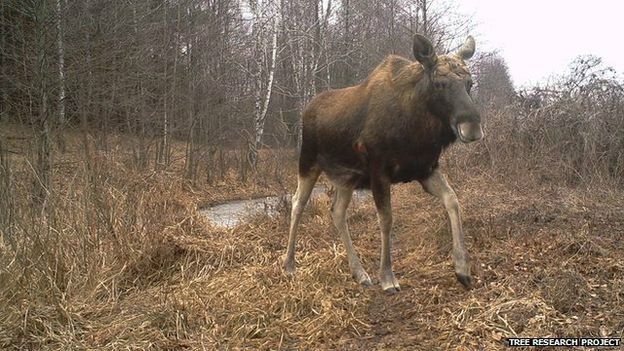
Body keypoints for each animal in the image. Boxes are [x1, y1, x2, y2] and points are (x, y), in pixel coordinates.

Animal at [282, 33, 482, 292]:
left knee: (337, 211)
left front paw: (462, 269)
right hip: (308, 162)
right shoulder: (379, 170)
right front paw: (387, 277)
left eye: (470, 83)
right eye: (439, 83)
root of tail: (306, 110)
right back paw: (289, 264)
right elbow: (386, 219)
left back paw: (359, 273)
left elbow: (453, 200)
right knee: (298, 203)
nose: (472, 128)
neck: (418, 129)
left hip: (347, 178)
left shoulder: (425, 169)